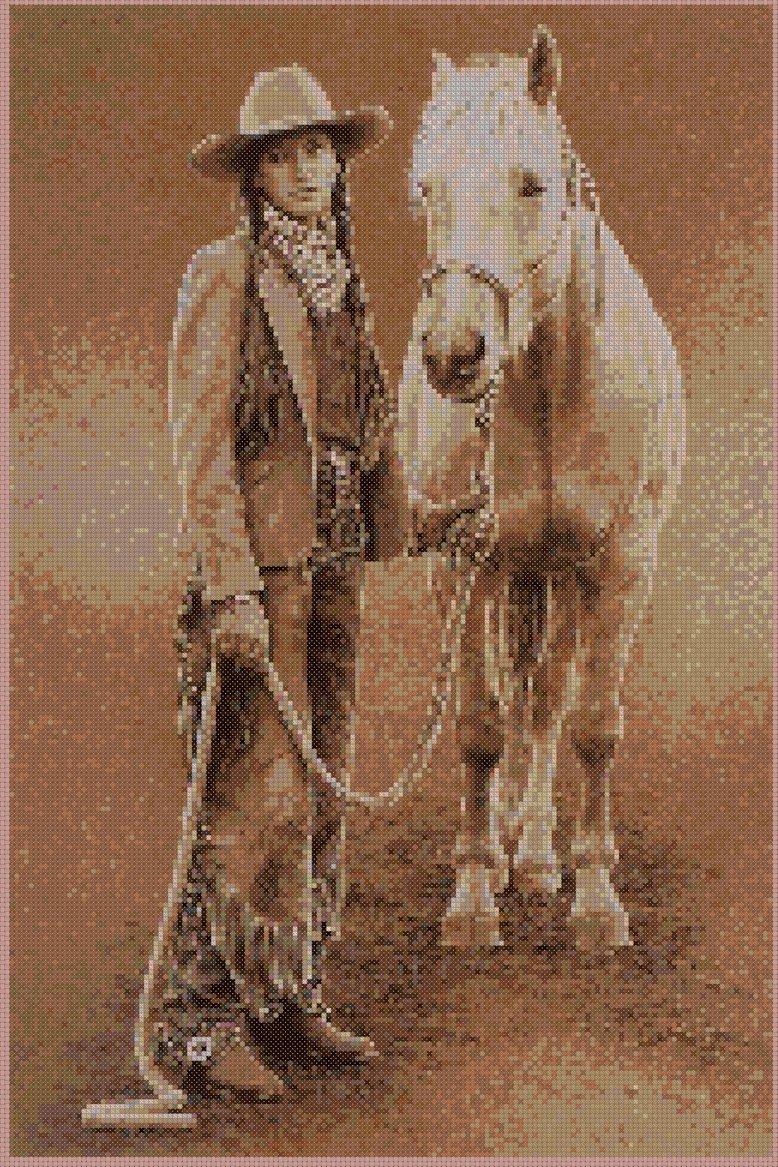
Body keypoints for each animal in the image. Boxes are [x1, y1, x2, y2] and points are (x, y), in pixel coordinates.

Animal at [398, 27, 685, 953]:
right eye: (426, 188)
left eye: (531, 182)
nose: (454, 354)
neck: (551, 391)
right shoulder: (463, 565)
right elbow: (482, 727)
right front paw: (471, 898)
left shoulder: (621, 568)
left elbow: (591, 724)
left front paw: (595, 900)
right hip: (518, 574)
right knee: (520, 693)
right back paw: (508, 856)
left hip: (565, 576)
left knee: (551, 697)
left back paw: (537, 856)